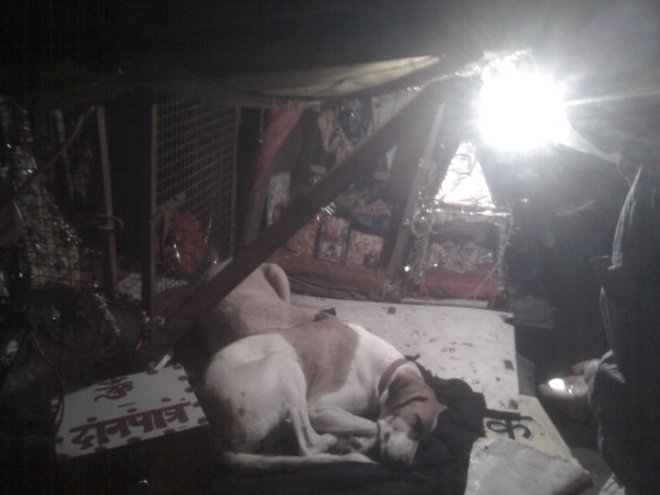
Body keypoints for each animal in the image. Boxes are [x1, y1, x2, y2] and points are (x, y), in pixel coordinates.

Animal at [196, 317, 446, 468]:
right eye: (416, 422)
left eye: (425, 439)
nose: (405, 464)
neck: (383, 369)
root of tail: (213, 425)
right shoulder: (318, 408)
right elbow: (373, 424)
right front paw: (359, 442)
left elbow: (373, 425)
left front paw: (357, 442)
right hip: (286, 366)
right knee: (308, 446)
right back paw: (330, 441)